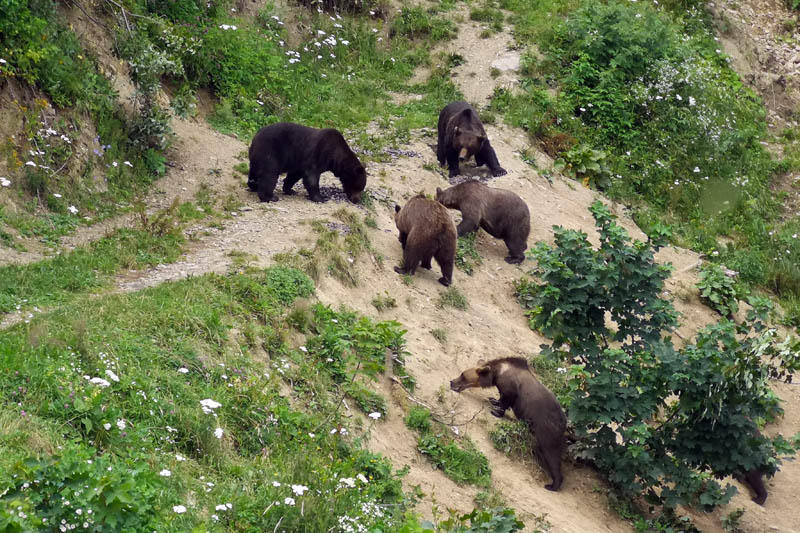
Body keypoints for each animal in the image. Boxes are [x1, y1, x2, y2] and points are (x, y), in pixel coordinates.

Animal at [450, 357, 567, 491]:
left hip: (546, 429)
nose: (451, 382)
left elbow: (506, 400)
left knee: (551, 454)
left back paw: (552, 485)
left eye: (463, 375)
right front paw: (493, 400)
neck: (497, 374)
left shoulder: (511, 388)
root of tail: (565, 422)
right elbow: (500, 399)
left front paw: (496, 411)